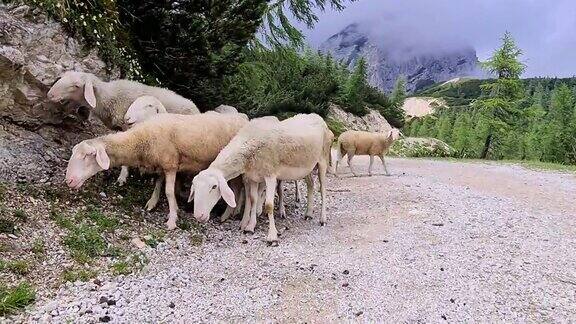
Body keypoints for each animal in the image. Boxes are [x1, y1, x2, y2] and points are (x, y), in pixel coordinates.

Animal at [64, 112, 249, 229]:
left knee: (238, 187)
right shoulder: (161, 164)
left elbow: (168, 192)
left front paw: (172, 219)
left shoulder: (170, 164)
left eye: (87, 156)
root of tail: (242, 118)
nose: (69, 181)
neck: (141, 140)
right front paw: (152, 203)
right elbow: (158, 184)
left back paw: (230, 213)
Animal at [189, 114, 332, 243]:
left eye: (214, 187)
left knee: (323, 190)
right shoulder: (253, 177)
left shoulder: (270, 175)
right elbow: (253, 199)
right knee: (311, 184)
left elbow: (268, 205)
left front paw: (272, 236)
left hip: (323, 159)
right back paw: (308, 213)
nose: (199, 216)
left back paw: (323, 219)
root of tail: (317, 117)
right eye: (194, 188)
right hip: (307, 165)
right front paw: (250, 227)